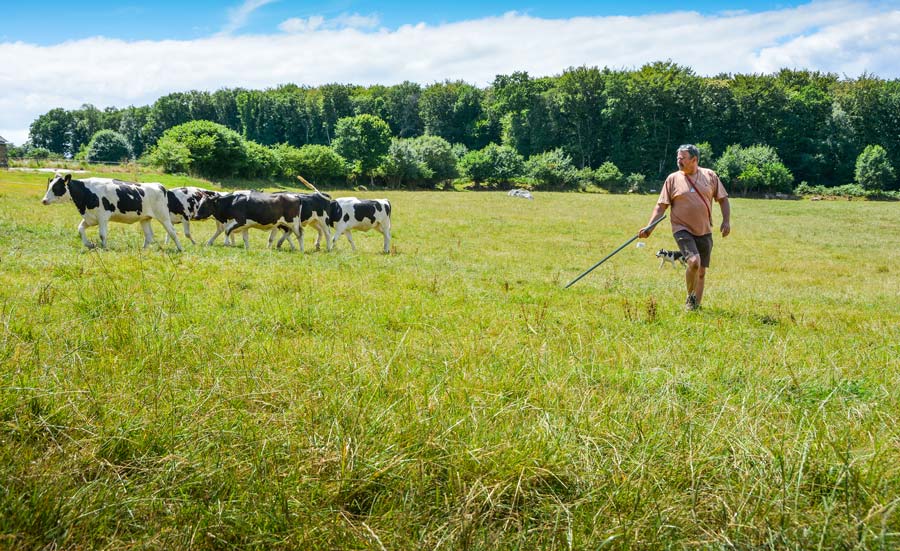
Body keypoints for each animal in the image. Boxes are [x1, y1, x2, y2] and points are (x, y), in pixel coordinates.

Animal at [41, 172, 183, 252]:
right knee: (149, 235)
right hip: (145, 218)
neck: (86, 193)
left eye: (56, 187)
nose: (44, 200)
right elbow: (80, 229)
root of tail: (159, 186)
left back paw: (180, 249)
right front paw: (90, 245)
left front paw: (105, 249)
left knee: (172, 232)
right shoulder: (90, 218)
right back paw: (143, 251)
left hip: (163, 216)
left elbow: (102, 235)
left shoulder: (102, 217)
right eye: (49, 186)